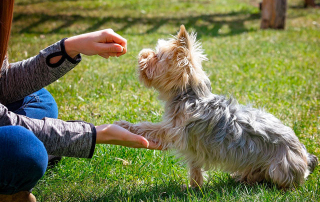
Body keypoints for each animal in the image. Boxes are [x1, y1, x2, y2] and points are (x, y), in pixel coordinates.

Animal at [114, 25, 318, 189]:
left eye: (157, 56)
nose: (142, 54)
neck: (189, 95)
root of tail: (304, 155)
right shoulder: (192, 147)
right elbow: (195, 168)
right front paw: (194, 187)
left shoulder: (173, 130)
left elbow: (148, 127)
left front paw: (124, 125)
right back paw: (242, 177)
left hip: (279, 168)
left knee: (281, 182)